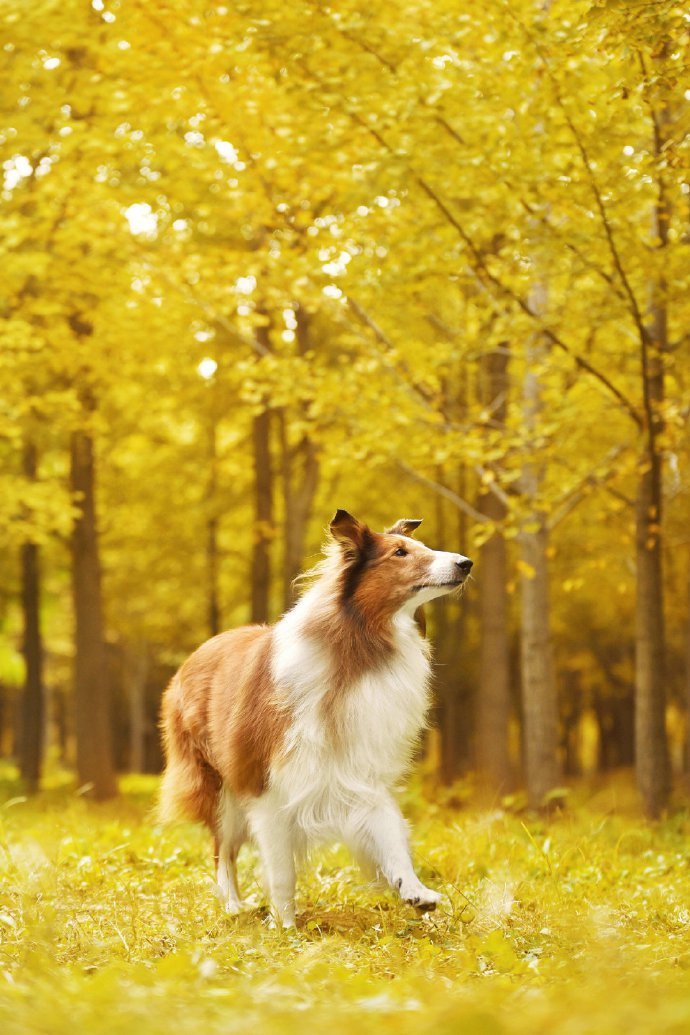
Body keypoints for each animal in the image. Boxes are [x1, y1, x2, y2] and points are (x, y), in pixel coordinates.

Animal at [160, 513, 475, 927]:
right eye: (400, 553)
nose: (466, 563)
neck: (360, 642)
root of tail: (194, 656)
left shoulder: (359, 769)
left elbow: (390, 831)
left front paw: (414, 889)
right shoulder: (265, 784)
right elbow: (281, 871)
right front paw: (285, 926)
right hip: (219, 790)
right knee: (221, 850)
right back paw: (232, 905)